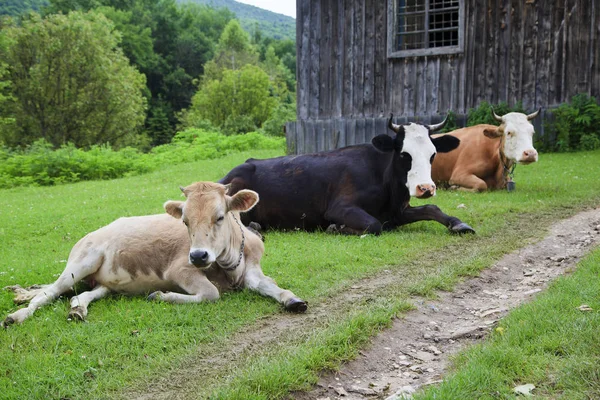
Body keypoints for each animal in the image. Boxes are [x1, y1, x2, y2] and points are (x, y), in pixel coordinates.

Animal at [2, 183, 308, 326]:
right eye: (185, 221)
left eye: (220, 217)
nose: (198, 256)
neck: (229, 265)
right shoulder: (179, 270)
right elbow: (210, 293)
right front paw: (161, 295)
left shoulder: (252, 270)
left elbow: (272, 286)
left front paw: (293, 299)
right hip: (81, 262)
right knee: (48, 293)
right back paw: (17, 315)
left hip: (105, 283)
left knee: (81, 294)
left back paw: (77, 309)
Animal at [218, 115, 476, 234]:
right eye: (404, 154)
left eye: (433, 154)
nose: (425, 188)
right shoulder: (339, 207)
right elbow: (373, 225)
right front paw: (335, 228)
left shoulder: (397, 211)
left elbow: (432, 209)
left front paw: (458, 223)